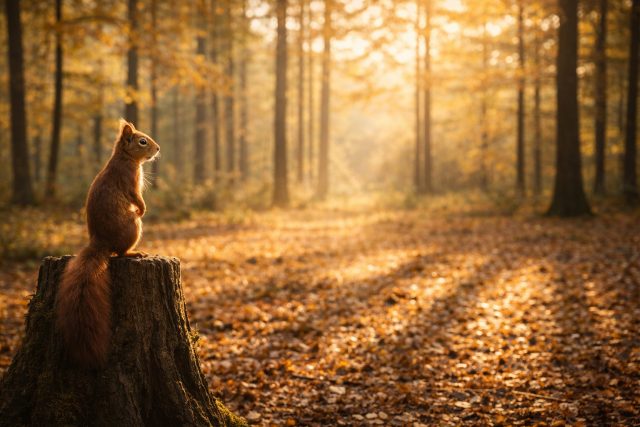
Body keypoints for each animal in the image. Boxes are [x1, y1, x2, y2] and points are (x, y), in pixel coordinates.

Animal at [55, 119, 160, 368]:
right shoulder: (129, 180)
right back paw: (134, 253)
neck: (125, 158)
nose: (158, 149)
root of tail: (100, 242)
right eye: (143, 141)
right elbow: (137, 198)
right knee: (120, 253)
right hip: (133, 227)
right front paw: (143, 209)